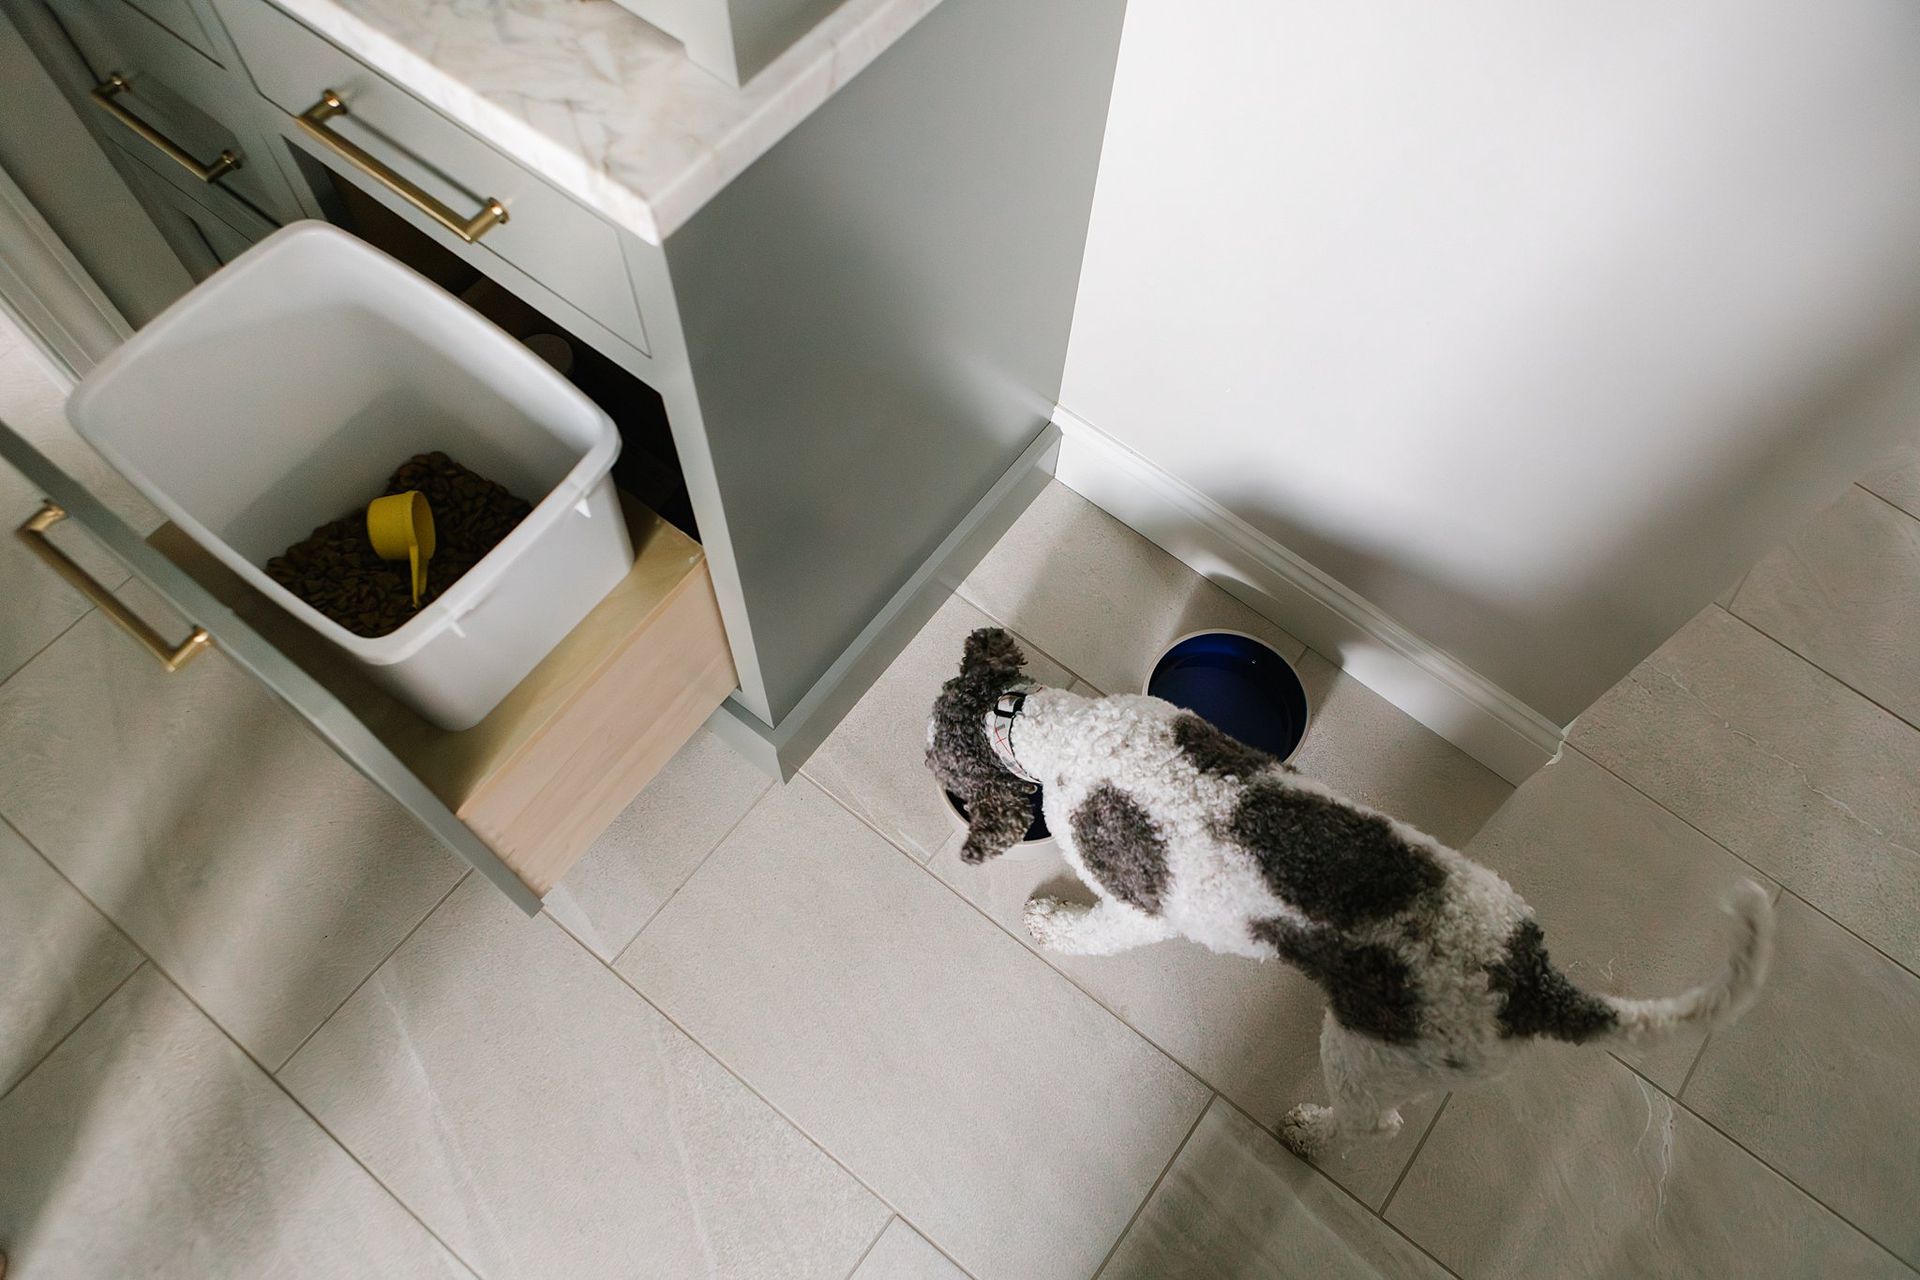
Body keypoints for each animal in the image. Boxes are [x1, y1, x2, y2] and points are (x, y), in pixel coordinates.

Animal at [926, 627, 1773, 1158]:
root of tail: (1532, 984)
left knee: (1376, 1127)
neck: (1056, 730)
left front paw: (1049, 921)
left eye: (936, 761)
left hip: (1369, 1055)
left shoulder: (1141, 904)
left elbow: (1097, 928)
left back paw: (1308, 1133)